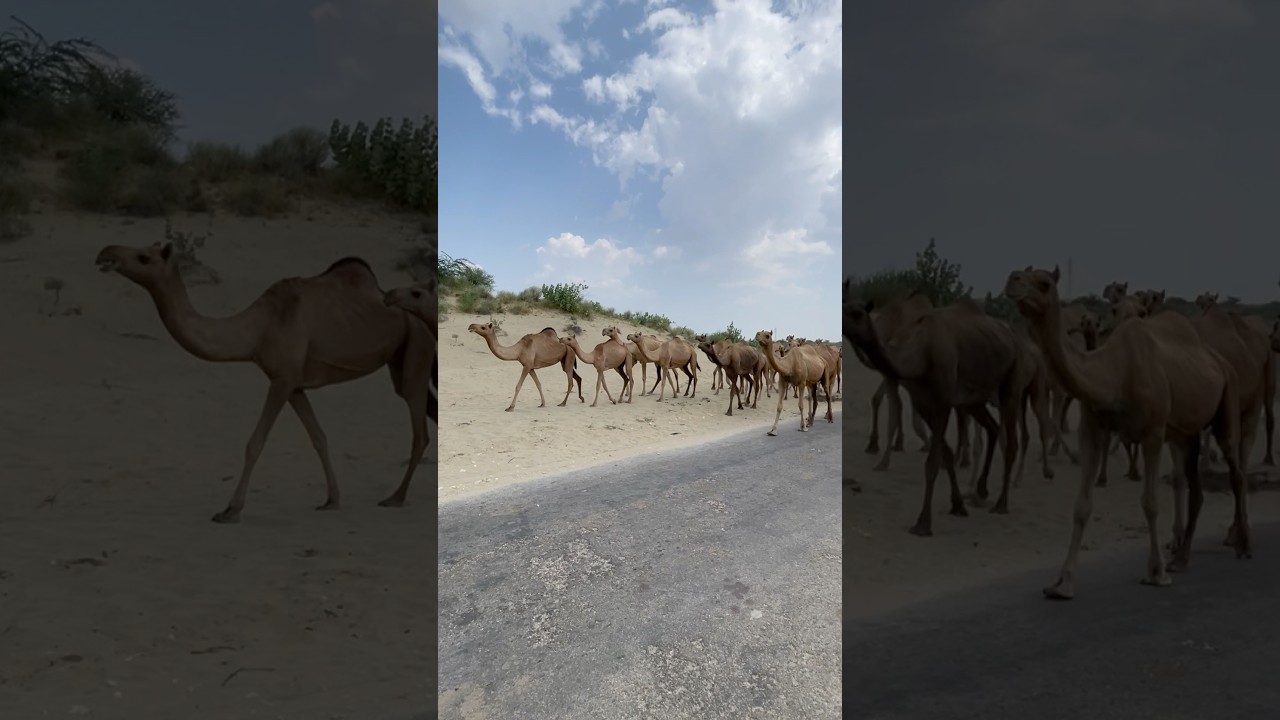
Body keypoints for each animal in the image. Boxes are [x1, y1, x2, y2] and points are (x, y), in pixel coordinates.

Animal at [95, 242, 435, 523]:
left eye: (144, 257)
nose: (105, 253)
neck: (259, 328)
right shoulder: (293, 383)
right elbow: (319, 438)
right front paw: (331, 500)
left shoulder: (282, 380)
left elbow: (255, 443)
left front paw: (230, 510)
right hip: (401, 363)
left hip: (416, 353)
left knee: (420, 433)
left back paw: (395, 497)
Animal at [1006, 265, 1249, 600]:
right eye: (1021, 273)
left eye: (1043, 283)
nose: (1012, 281)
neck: (1115, 374)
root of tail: (1219, 360)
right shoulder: (1092, 430)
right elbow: (1081, 506)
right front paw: (1062, 583)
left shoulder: (1153, 433)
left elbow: (1150, 503)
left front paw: (1156, 572)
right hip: (1186, 432)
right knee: (1195, 486)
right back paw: (1181, 558)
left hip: (1228, 398)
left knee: (1236, 473)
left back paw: (1241, 544)